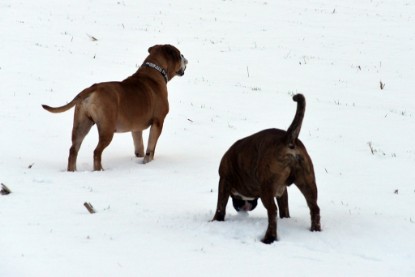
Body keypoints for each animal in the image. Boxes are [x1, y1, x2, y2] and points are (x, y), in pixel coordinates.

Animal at [42, 43, 188, 170]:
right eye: (180, 55)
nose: (186, 60)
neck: (155, 70)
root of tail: (93, 88)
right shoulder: (158, 122)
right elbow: (150, 147)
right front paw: (148, 161)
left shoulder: (136, 128)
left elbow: (139, 145)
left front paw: (139, 158)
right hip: (107, 129)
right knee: (97, 152)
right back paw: (99, 170)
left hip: (81, 124)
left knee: (73, 149)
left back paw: (72, 170)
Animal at [213, 94, 324, 243]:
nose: (244, 207)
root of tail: (287, 139)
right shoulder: (282, 191)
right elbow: (284, 208)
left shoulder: (224, 180)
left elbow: (220, 205)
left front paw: (215, 221)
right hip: (307, 183)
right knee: (314, 208)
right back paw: (315, 230)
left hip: (267, 188)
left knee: (272, 211)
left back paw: (269, 238)